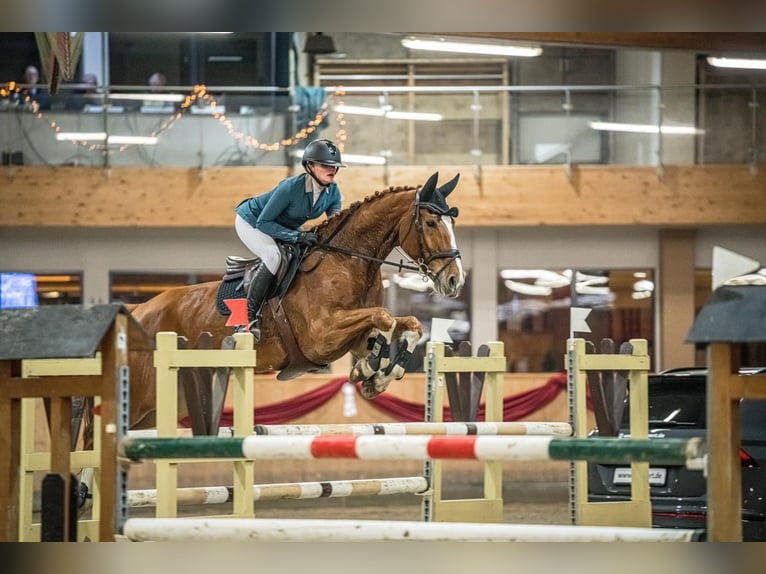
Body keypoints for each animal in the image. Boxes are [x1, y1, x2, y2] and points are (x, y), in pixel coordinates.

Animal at [127, 173, 464, 430]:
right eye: (431, 223)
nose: (455, 280)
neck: (348, 261)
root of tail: (138, 310)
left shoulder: (350, 336)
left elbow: (409, 324)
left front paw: (375, 377)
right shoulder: (321, 336)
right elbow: (384, 317)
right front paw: (370, 369)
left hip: (167, 403)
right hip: (142, 398)